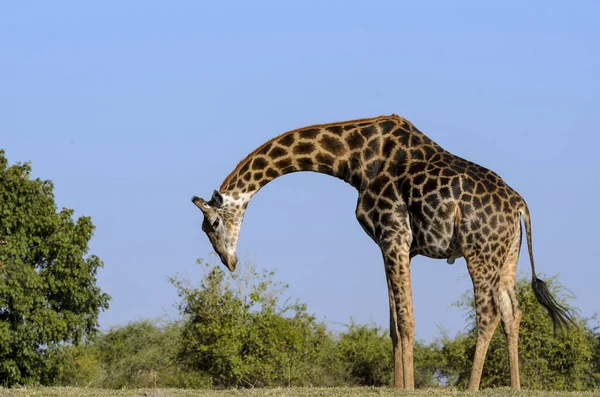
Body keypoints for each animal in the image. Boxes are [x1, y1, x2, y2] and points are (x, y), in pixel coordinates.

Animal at [190, 113, 576, 388]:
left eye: (212, 224)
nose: (229, 262)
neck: (353, 162)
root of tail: (520, 205)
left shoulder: (394, 235)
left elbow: (406, 319)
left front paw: (408, 388)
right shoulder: (388, 244)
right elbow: (393, 323)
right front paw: (398, 385)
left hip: (479, 251)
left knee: (488, 312)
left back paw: (470, 387)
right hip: (507, 255)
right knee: (513, 311)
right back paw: (516, 386)